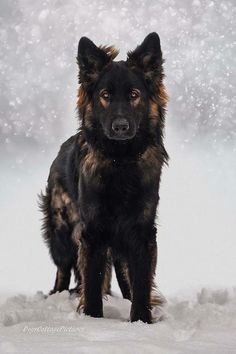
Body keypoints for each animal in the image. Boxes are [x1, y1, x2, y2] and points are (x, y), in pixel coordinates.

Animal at [40, 32, 169, 324]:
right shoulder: (93, 233)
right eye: (105, 95)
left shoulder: (141, 232)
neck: (120, 161)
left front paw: (141, 321)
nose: (120, 127)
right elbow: (92, 283)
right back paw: (57, 296)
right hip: (62, 233)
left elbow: (141, 283)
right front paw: (93, 321)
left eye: (134, 94)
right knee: (63, 269)